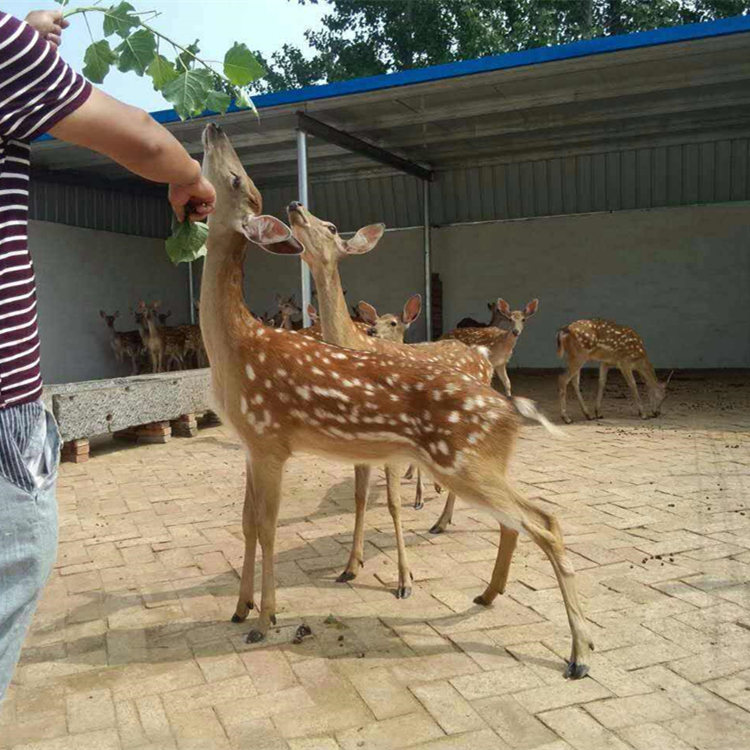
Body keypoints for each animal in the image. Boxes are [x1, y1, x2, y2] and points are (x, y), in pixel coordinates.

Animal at [198, 120, 592, 680]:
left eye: (235, 179)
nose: (214, 126)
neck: (236, 347)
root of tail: (507, 409)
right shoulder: (251, 444)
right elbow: (249, 524)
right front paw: (240, 608)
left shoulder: (271, 439)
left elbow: (271, 528)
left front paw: (265, 619)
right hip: (475, 463)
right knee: (523, 520)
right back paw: (488, 595)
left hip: (464, 459)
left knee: (546, 521)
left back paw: (579, 653)